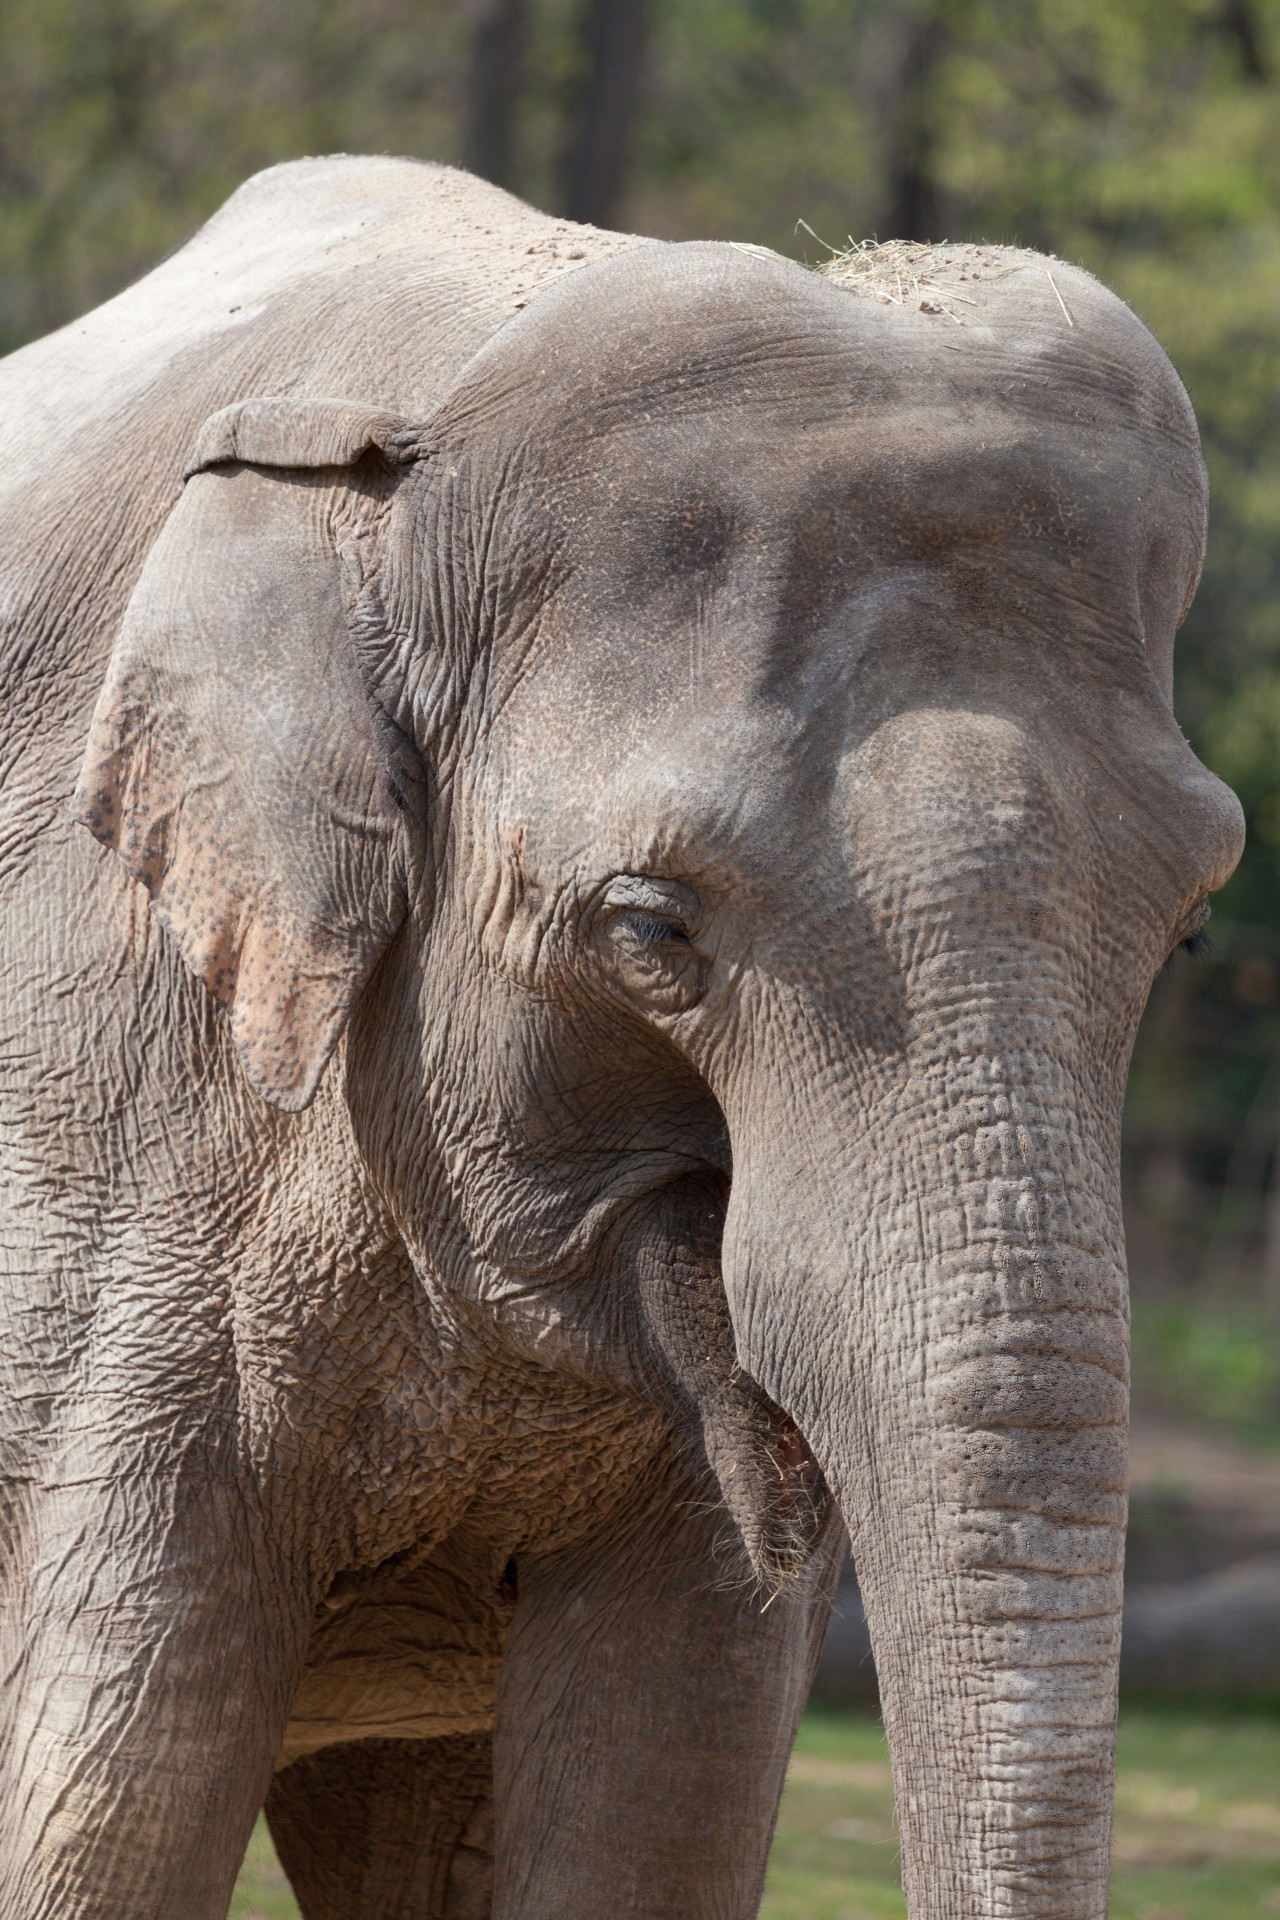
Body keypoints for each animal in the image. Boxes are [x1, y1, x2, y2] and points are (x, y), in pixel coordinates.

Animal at [0, 153, 1243, 1920]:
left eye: (1192, 923)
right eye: (652, 935)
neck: (403, 445)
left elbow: (659, 1818)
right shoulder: (119, 1186)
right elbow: (102, 1828)